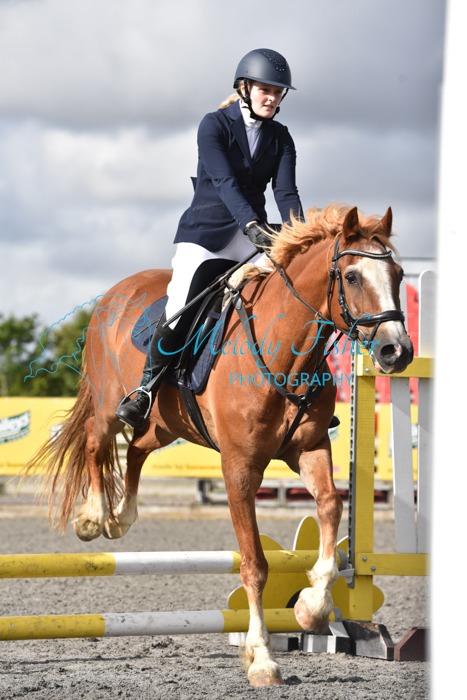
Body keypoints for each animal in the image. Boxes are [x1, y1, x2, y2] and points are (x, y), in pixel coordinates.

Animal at [24, 203, 414, 687]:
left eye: (399, 274)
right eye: (353, 276)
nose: (397, 351)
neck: (287, 351)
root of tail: (115, 293)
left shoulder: (310, 448)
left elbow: (329, 504)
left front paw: (310, 608)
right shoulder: (240, 467)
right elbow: (255, 565)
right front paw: (262, 658)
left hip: (166, 423)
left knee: (137, 448)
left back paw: (122, 517)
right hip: (108, 405)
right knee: (98, 445)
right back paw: (95, 518)